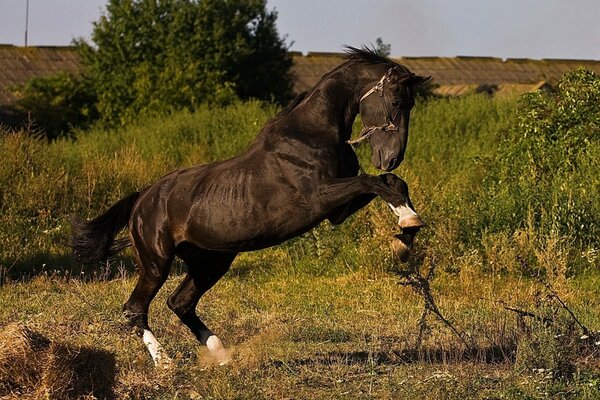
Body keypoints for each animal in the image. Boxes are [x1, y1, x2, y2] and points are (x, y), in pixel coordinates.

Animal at [71, 47, 432, 366]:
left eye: (412, 103)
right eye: (396, 101)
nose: (391, 157)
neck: (312, 134)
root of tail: (142, 199)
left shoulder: (336, 212)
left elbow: (392, 183)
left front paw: (406, 234)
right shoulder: (319, 198)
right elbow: (373, 182)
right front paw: (407, 227)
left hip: (212, 261)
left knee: (180, 303)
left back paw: (222, 355)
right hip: (157, 262)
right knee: (135, 309)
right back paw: (165, 362)